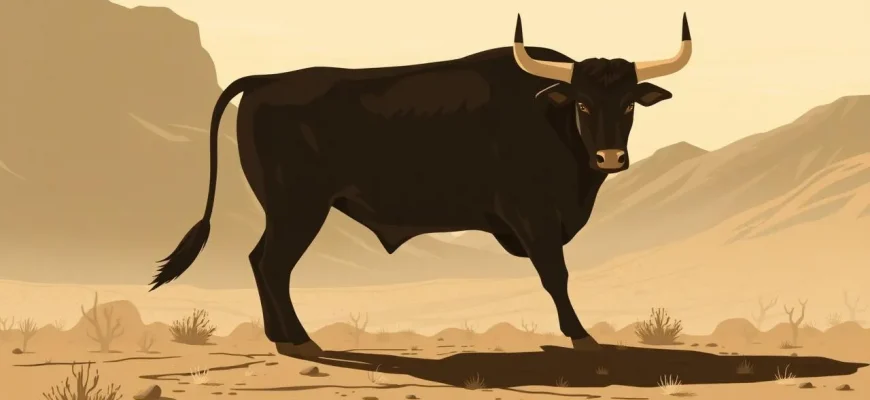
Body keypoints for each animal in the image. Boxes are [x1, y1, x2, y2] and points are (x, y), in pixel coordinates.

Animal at [150, 13, 693, 357]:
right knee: (272, 264)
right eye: (581, 103)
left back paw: (281, 338)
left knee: (261, 261)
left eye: (628, 104)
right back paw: (300, 340)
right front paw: (580, 336)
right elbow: (555, 275)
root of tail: (265, 79)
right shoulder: (533, 217)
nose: (611, 157)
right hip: (298, 208)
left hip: (288, 210)